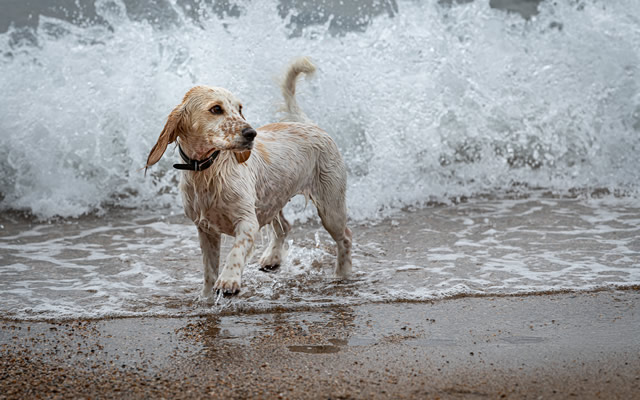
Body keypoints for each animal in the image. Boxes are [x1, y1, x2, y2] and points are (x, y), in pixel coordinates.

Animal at [145, 57, 352, 296]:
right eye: (216, 109)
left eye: (239, 108)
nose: (251, 133)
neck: (209, 171)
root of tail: (312, 126)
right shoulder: (206, 231)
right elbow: (209, 272)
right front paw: (207, 295)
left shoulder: (247, 221)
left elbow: (236, 252)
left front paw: (229, 280)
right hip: (272, 200)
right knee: (284, 226)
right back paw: (272, 257)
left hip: (330, 208)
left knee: (346, 238)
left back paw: (342, 274)